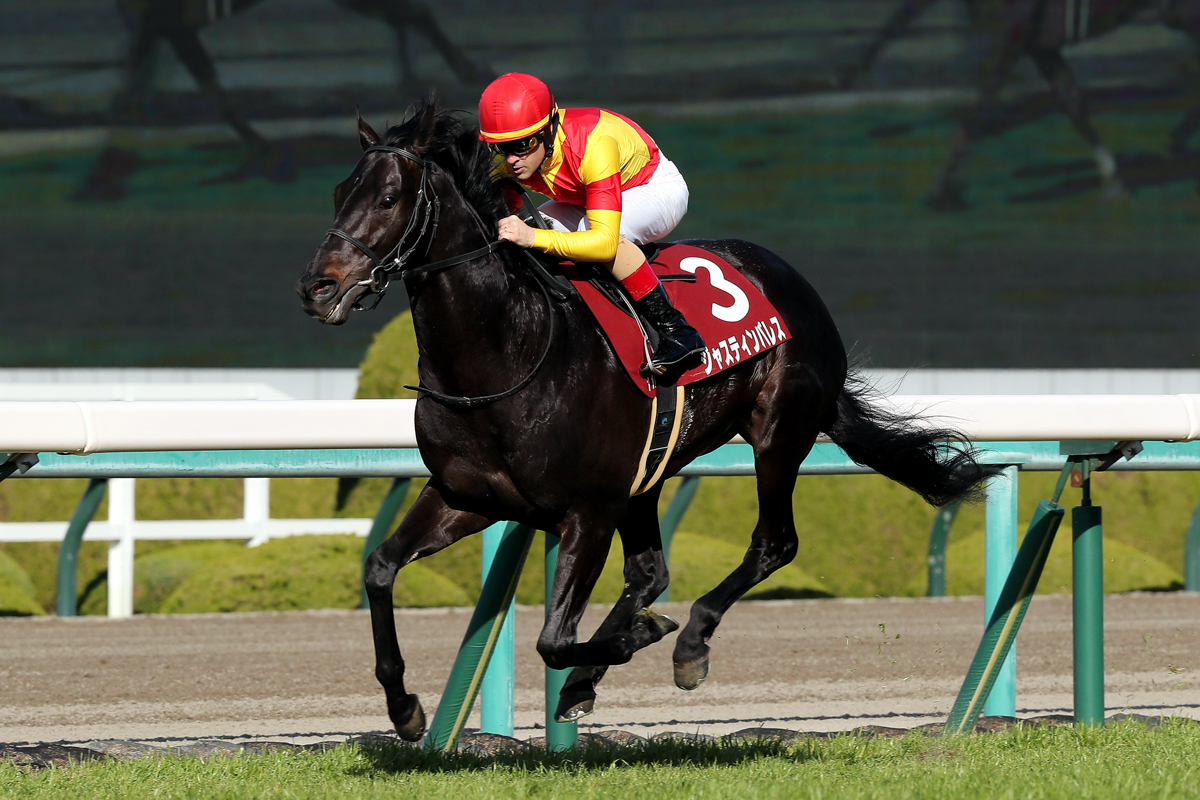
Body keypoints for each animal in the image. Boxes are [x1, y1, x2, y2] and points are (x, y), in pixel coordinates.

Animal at [295, 101, 998, 743]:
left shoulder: (586, 511)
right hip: (649, 472)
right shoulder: (466, 496)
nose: (316, 288)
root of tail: (795, 283)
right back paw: (597, 672)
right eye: (337, 194)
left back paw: (687, 642)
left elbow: (554, 638)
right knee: (651, 572)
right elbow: (379, 568)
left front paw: (645, 637)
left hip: (777, 433)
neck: (507, 351)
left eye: (389, 197)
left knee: (773, 544)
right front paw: (405, 708)